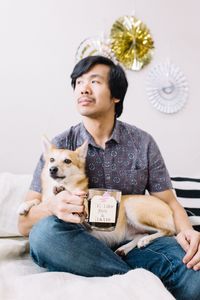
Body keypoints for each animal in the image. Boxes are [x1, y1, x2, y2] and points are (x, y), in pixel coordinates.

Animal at [18, 138, 175, 255]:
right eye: (51, 160)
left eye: (67, 161)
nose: (52, 169)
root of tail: (169, 208)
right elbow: (38, 200)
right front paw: (25, 206)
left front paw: (60, 190)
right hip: (131, 230)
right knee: (142, 234)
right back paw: (124, 248)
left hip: (133, 210)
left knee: (169, 231)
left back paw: (146, 241)